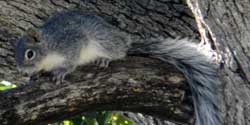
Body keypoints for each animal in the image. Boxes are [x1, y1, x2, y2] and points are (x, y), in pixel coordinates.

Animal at [14, 10, 221, 125]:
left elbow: (70, 61)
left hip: (103, 41)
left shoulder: (70, 42)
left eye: (29, 54)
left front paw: (60, 72)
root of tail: (124, 42)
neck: (48, 48)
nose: (22, 72)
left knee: (118, 53)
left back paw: (104, 60)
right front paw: (34, 76)